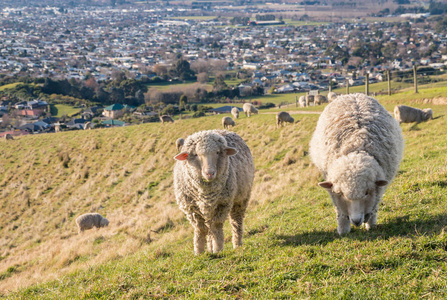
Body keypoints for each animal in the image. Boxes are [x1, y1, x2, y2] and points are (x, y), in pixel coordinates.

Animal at [310, 93, 404, 234]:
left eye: (366, 193)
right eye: (341, 194)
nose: (356, 221)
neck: (355, 147)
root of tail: (352, 94)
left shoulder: (378, 189)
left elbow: (374, 206)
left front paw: (371, 225)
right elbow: (340, 212)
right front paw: (343, 230)